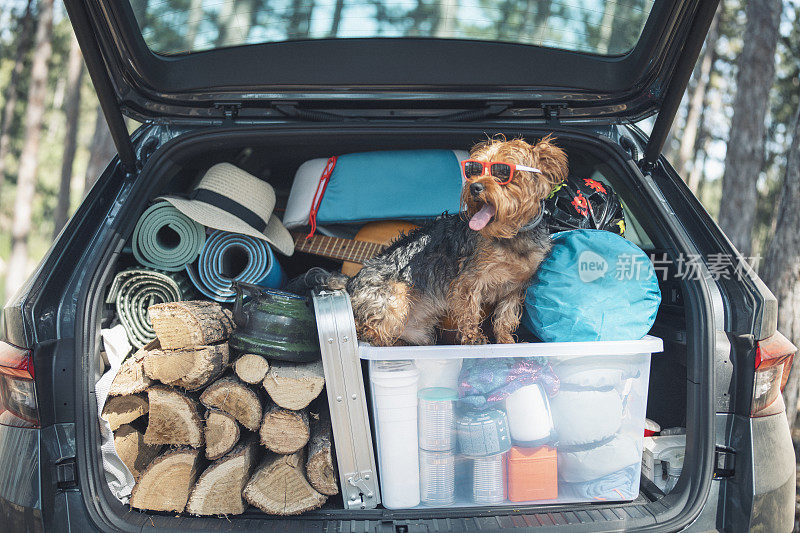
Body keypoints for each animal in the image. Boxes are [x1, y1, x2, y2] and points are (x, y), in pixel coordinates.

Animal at [328, 135, 564, 344]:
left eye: (503, 171)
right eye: (474, 171)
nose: (474, 187)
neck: (512, 234)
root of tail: (351, 281)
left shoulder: (516, 287)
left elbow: (506, 317)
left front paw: (507, 342)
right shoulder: (469, 279)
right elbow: (470, 310)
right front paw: (473, 338)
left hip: (420, 333)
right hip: (395, 297)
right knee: (369, 329)